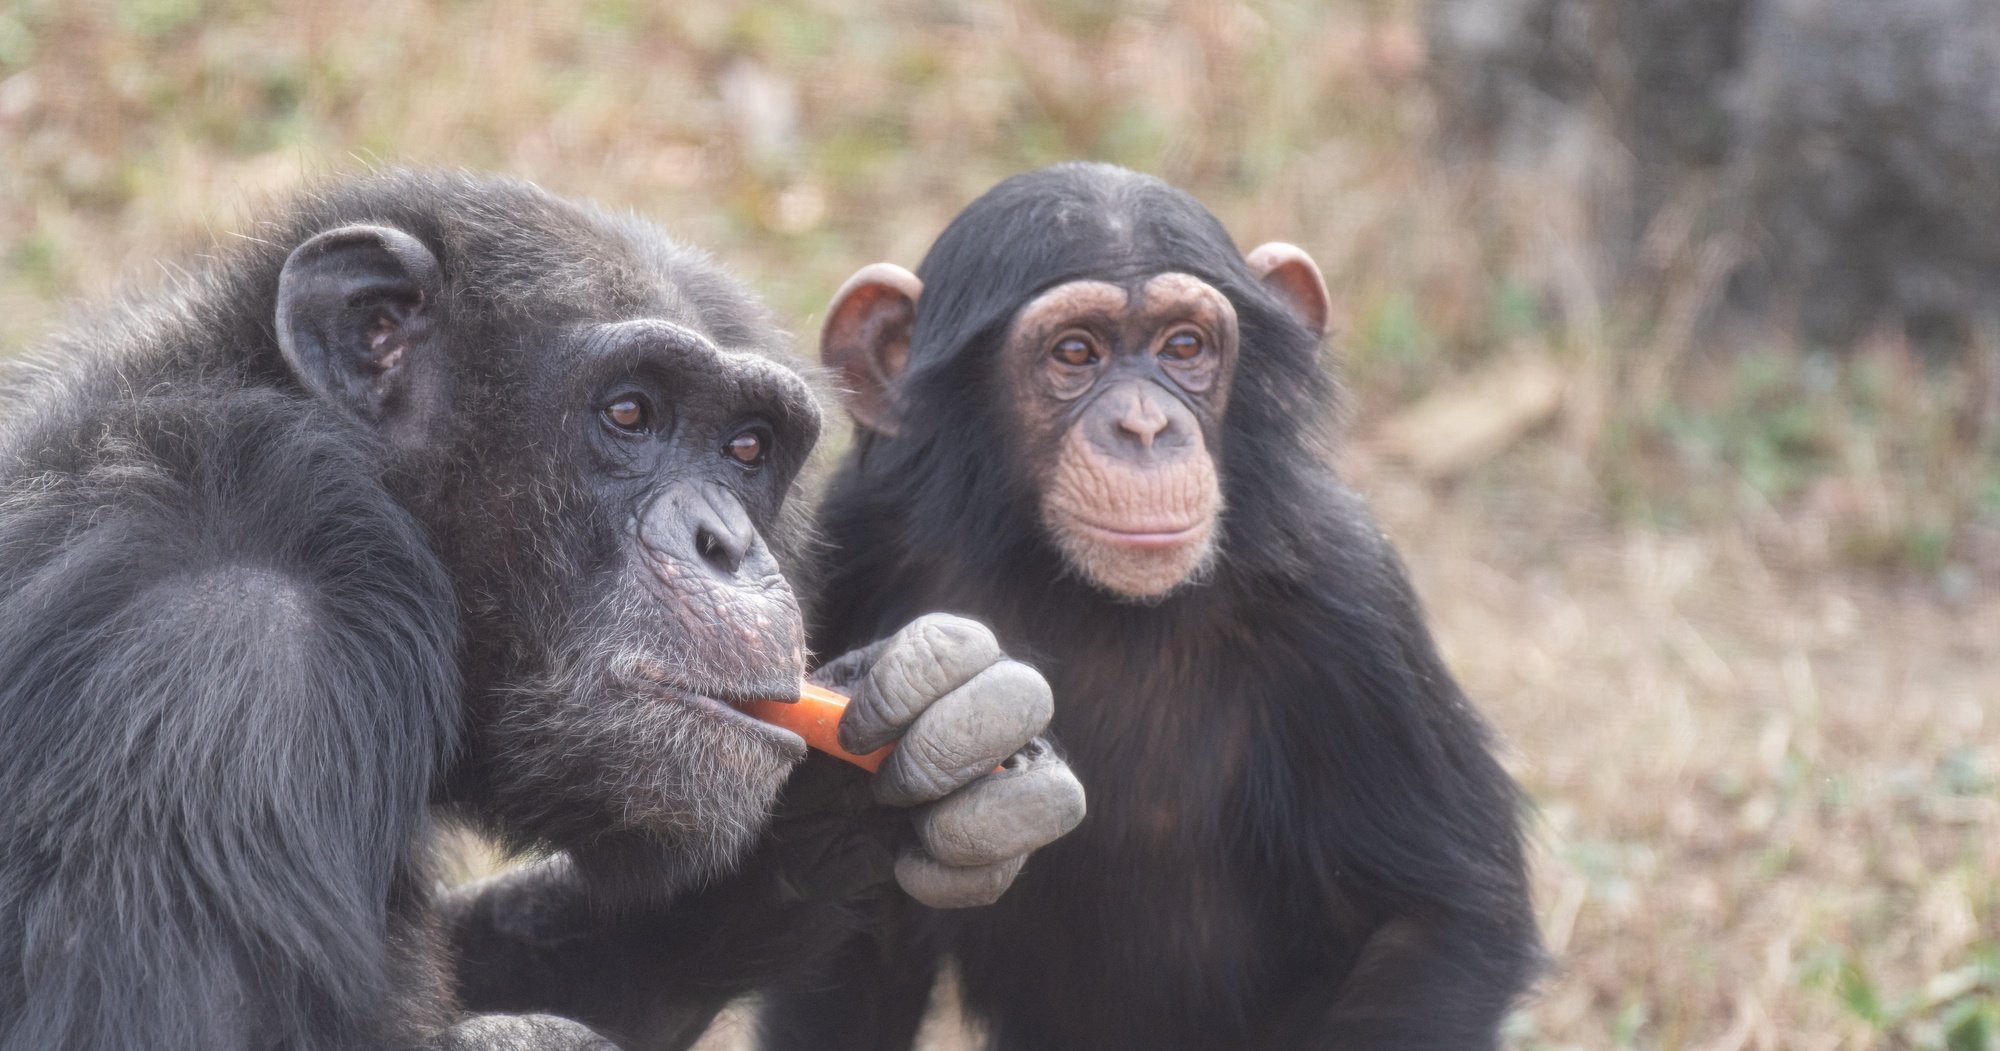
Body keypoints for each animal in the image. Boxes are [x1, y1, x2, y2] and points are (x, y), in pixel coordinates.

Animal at [756, 160, 1536, 1047]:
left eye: (1185, 346)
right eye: (1076, 352)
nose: (1144, 425)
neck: (1071, 583)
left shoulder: (1353, 602)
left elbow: (1435, 919)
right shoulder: (857, 536)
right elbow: (863, 942)